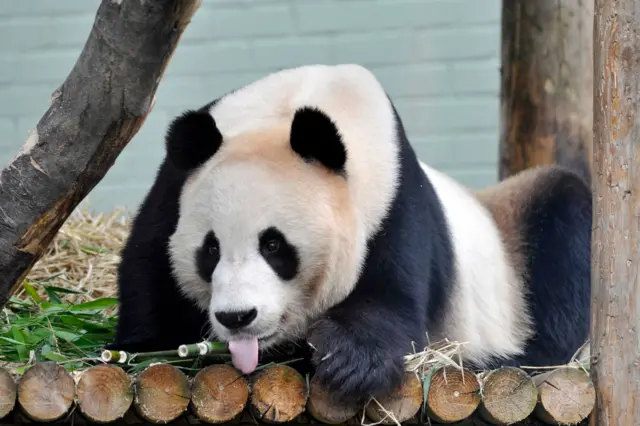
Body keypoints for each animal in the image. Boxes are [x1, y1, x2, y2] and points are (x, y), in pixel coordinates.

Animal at [109, 62, 592, 402]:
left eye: (274, 245)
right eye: (209, 250)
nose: (236, 317)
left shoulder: (395, 202)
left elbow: (390, 299)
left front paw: (348, 364)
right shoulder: (174, 185)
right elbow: (149, 270)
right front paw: (148, 348)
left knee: (567, 234)